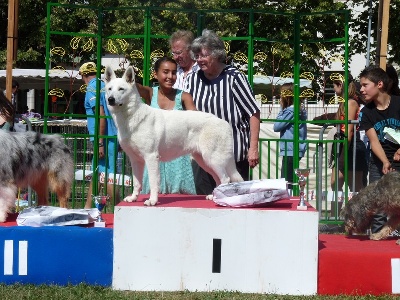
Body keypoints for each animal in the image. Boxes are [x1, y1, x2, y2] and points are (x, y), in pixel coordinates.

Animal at [103, 66, 242, 206]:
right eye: (109, 89)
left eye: (121, 89)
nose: (110, 99)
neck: (130, 117)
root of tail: (225, 123)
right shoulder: (135, 160)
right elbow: (137, 183)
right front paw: (133, 198)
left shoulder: (151, 157)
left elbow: (153, 183)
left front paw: (152, 200)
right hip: (204, 161)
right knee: (218, 179)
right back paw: (213, 197)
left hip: (212, 159)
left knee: (225, 178)